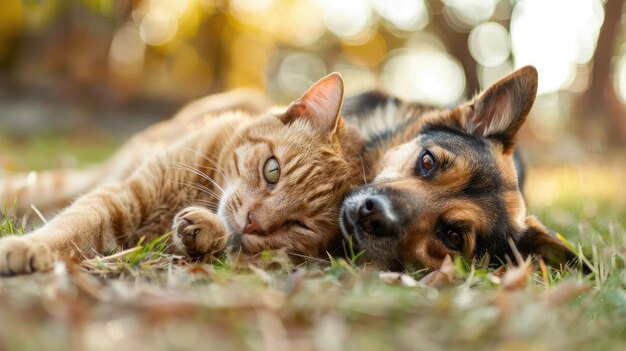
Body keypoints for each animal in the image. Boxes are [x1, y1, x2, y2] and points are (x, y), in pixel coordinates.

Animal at [0, 73, 366, 276]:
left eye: (299, 225)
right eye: (272, 170)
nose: (252, 222)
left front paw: (205, 232)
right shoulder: (120, 196)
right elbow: (71, 227)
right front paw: (30, 246)